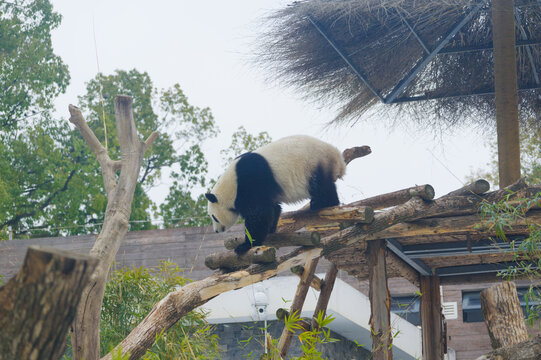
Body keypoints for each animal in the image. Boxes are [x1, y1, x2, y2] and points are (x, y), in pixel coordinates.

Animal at [205, 134, 344, 255]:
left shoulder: (250, 183)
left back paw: (320, 203)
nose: (216, 231)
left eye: (214, 217)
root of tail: (338, 158)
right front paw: (270, 229)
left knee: (321, 187)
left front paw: (245, 245)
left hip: (314, 165)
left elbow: (258, 214)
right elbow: (272, 208)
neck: (232, 184)